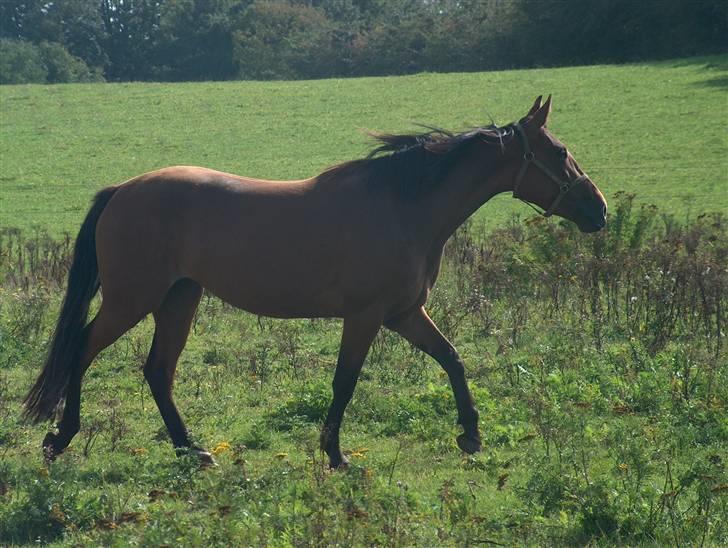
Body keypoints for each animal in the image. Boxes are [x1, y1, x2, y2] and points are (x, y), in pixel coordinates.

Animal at [24, 97, 608, 466]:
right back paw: (62, 437)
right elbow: (345, 382)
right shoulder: (367, 317)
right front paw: (335, 454)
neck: (405, 208)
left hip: (178, 299)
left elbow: (452, 359)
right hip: (132, 299)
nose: (598, 209)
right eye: (559, 153)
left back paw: (191, 450)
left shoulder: (404, 314)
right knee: (82, 350)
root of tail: (122, 191)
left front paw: (470, 434)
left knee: (158, 371)